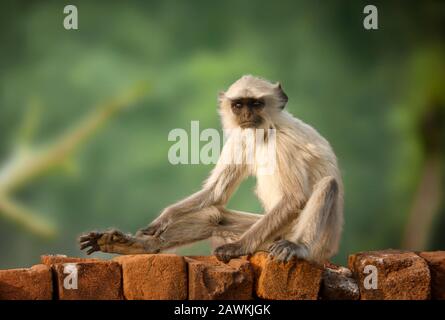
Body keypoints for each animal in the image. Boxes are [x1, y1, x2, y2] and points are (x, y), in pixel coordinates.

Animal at [80, 75, 344, 262]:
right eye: (238, 105)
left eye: (256, 104)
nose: (246, 114)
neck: (267, 129)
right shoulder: (241, 138)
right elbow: (216, 193)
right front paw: (160, 221)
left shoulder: (283, 144)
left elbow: (295, 197)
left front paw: (238, 247)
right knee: (214, 216)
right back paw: (138, 246)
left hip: (309, 239)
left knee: (328, 184)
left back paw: (298, 248)